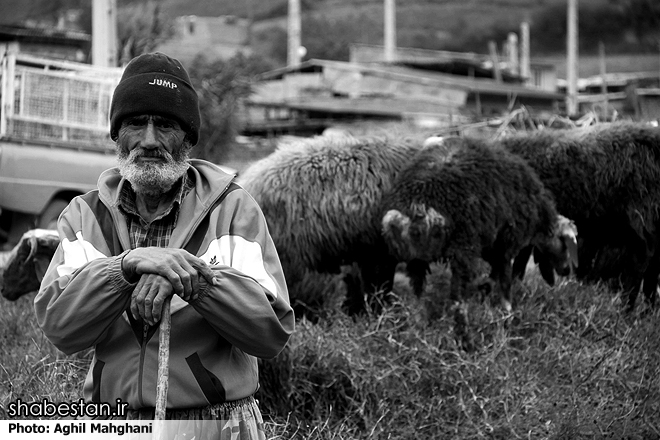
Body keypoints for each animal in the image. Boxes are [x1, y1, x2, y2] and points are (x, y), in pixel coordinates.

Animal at [378, 136, 576, 312]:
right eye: (565, 244)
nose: (567, 270)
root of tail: (417, 207)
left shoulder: (490, 244)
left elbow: (495, 273)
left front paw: (486, 289)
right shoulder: (506, 242)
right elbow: (504, 278)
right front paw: (507, 309)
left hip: (417, 257)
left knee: (418, 286)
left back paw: (418, 313)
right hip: (463, 245)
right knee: (458, 293)